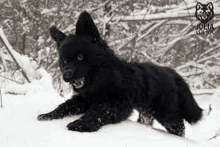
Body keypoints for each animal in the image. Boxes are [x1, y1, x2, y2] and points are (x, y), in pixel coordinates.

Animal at [37, 10, 202, 136]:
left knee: (179, 128)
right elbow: (65, 106)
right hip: (146, 112)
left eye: (80, 57)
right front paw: (48, 115)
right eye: (64, 61)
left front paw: (81, 124)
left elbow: (99, 112)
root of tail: (172, 72)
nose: (66, 76)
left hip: (167, 115)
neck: (101, 79)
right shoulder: (84, 99)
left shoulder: (119, 103)